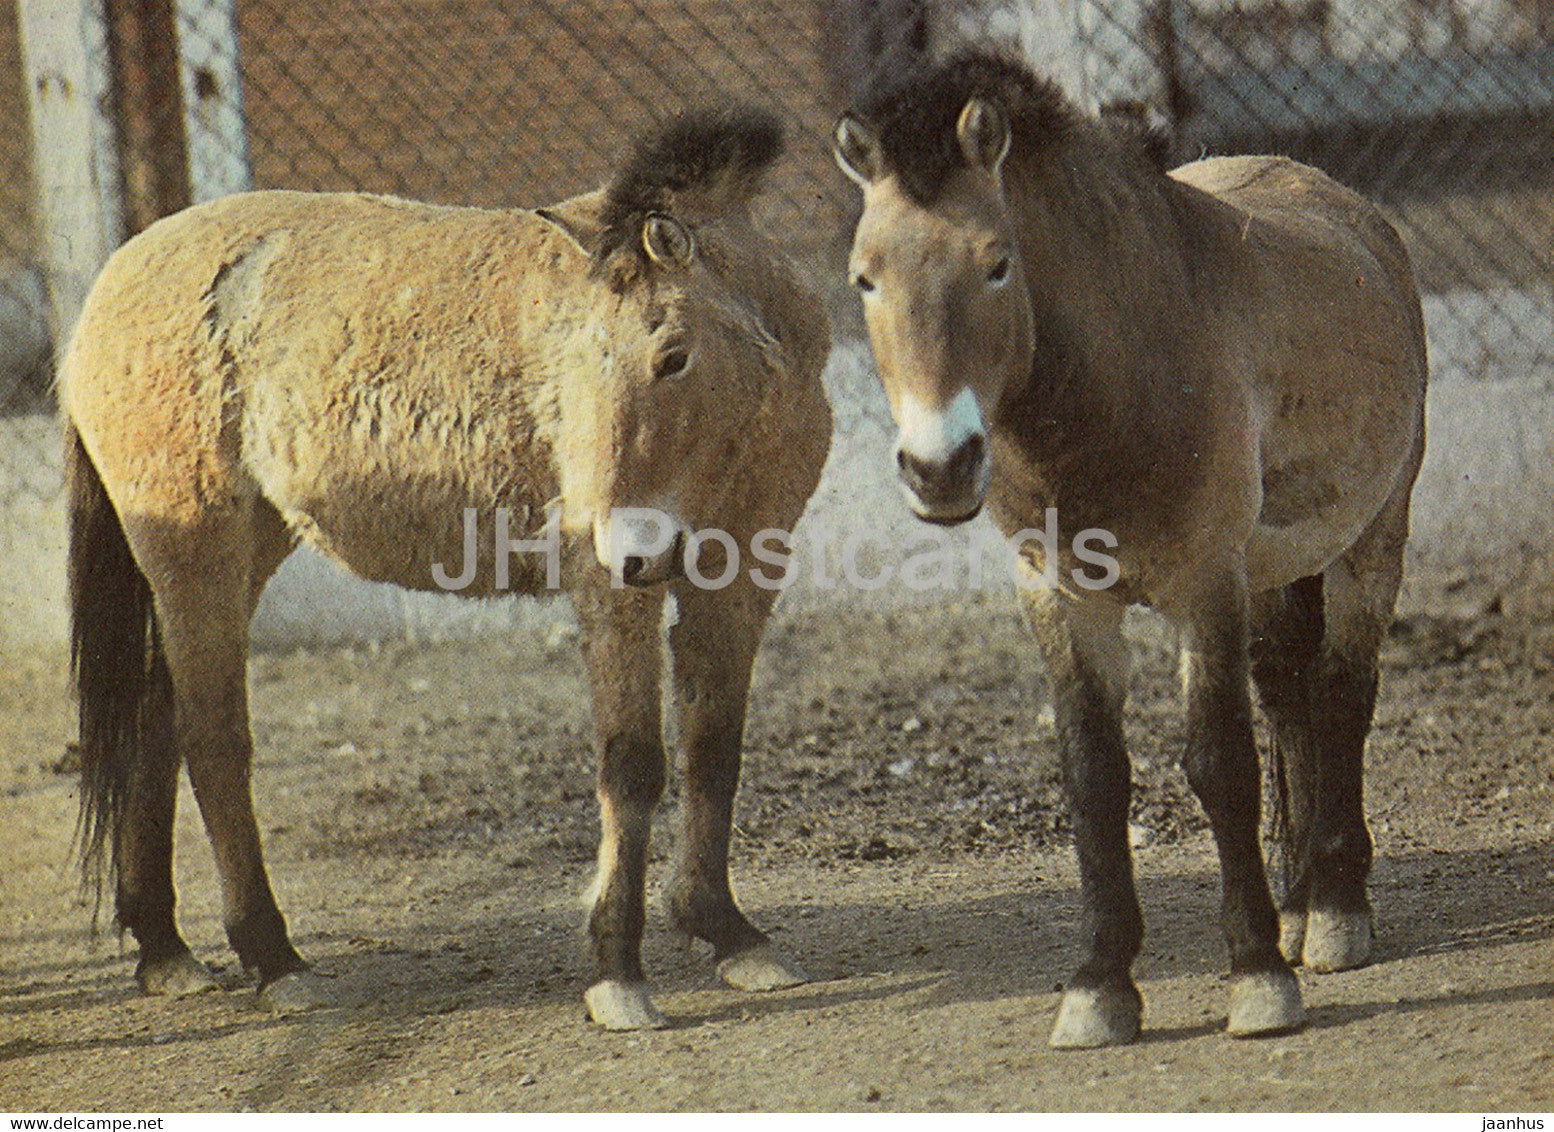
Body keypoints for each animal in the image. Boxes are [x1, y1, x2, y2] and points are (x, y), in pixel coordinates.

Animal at [61, 107, 832, 1030]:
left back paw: (166, 951)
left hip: (239, 553)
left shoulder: (742, 573)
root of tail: (110, 283)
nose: (631, 548)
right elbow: (633, 761)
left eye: (672, 356)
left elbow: (715, 745)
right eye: (582, 359)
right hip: (197, 553)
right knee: (212, 739)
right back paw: (274, 959)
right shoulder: (613, 591)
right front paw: (618, 971)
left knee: (156, 719)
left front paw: (728, 933)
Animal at [832, 52, 1427, 1047]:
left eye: (998, 264)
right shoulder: (1061, 597)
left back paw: (1338, 913)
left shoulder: (1205, 584)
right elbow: (1095, 778)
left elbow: (1218, 765)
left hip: (1371, 539)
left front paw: (1257, 978)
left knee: (1342, 695)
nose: (938, 467)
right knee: (1291, 692)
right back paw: (1302, 899)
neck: (1114, 385)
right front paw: (1100, 985)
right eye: (863, 279)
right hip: (1278, 571)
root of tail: (1360, 218)